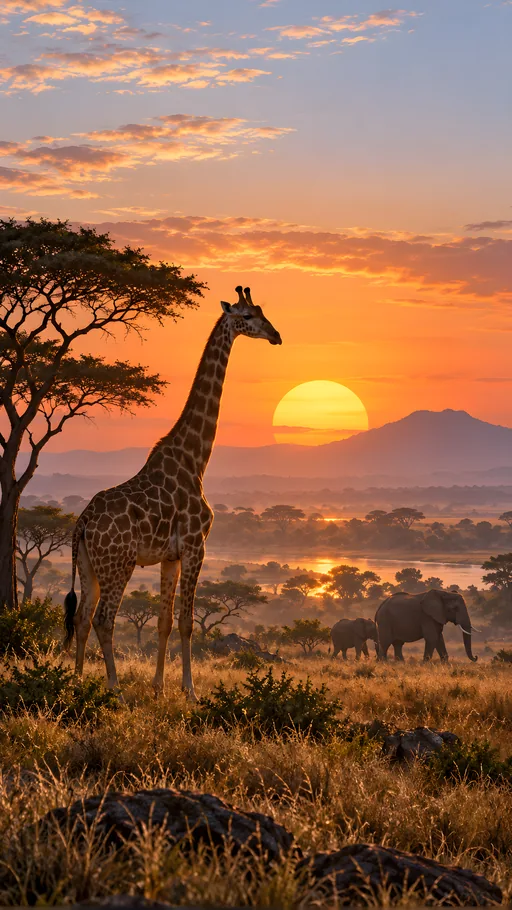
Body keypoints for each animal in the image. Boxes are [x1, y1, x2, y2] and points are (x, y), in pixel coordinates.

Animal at [63, 287, 282, 701]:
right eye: (247, 316)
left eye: (264, 312)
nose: (276, 335)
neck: (196, 459)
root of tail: (82, 523)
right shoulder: (197, 545)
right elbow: (186, 622)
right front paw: (190, 691)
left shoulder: (171, 555)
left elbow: (164, 620)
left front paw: (158, 687)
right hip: (119, 564)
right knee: (103, 620)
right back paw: (114, 687)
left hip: (87, 564)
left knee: (82, 617)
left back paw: (78, 681)